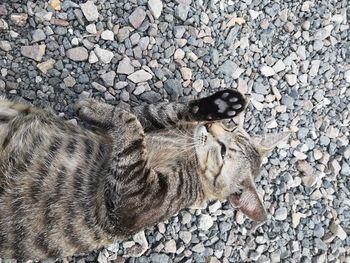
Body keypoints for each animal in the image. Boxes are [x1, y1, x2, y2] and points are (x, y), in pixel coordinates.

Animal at [0, 90, 288, 262]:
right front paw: (220, 103)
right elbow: (157, 112)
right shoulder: (144, 131)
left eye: (224, 151)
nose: (210, 126)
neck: (186, 149)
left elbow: (131, 120)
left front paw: (97, 109)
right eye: (231, 127)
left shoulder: (131, 200)